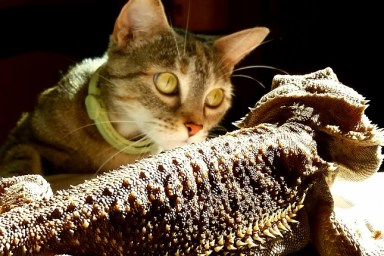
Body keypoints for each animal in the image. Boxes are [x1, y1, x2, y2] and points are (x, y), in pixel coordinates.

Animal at [0, 0, 268, 188]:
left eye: (215, 97)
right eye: (167, 81)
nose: (195, 128)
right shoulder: (23, 134)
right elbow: (21, 159)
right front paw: (20, 186)